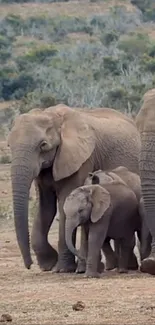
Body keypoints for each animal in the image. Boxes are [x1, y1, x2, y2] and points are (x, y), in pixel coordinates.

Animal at [8, 104, 141, 270]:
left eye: (43, 145)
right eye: (9, 145)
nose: (29, 265)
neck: (52, 116)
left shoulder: (82, 159)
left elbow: (64, 203)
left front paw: (63, 269)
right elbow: (46, 208)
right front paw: (49, 264)